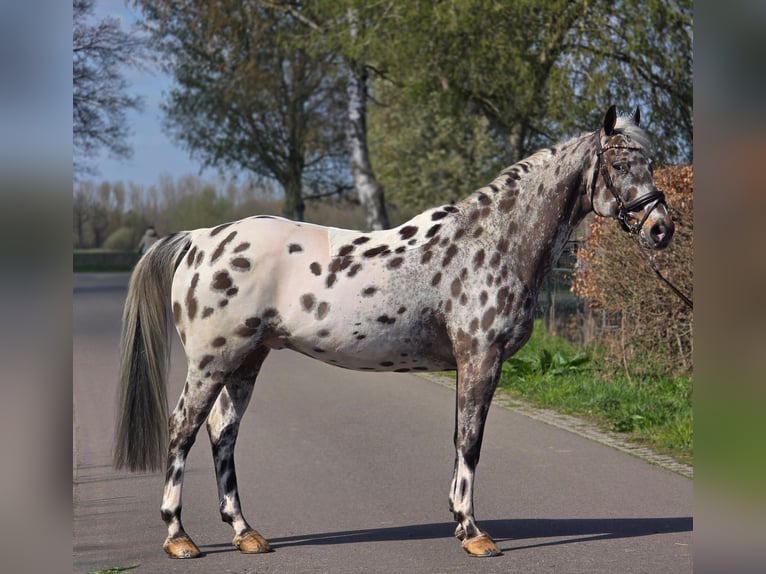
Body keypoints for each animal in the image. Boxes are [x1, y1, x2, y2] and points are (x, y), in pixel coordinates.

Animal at [113, 105, 674, 559]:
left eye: (651, 162)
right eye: (618, 164)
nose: (661, 228)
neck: (493, 243)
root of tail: (200, 239)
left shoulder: (469, 363)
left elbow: (460, 439)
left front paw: (460, 522)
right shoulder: (481, 358)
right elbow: (470, 440)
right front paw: (473, 533)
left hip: (247, 361)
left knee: (222, 433)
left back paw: (245, 532)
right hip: (211, 363)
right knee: (182, 430)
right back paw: (179, 537)